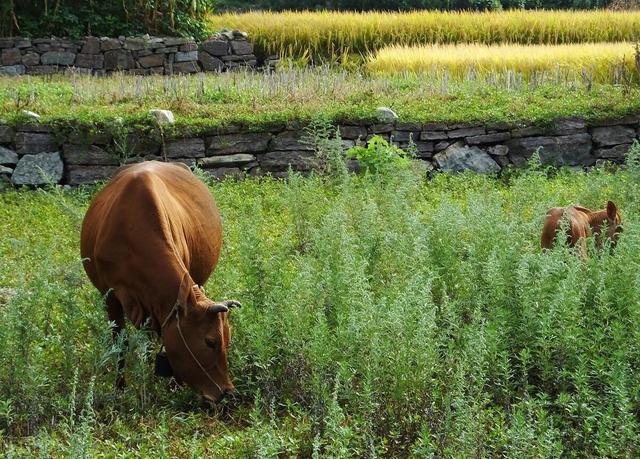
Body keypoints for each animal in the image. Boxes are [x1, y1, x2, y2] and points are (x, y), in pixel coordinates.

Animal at [80, 160, 240, 404]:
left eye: (228, 340)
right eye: (210, 341)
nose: (226, 392)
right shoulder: (110, 296)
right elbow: (120, 343)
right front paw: (119, 388)